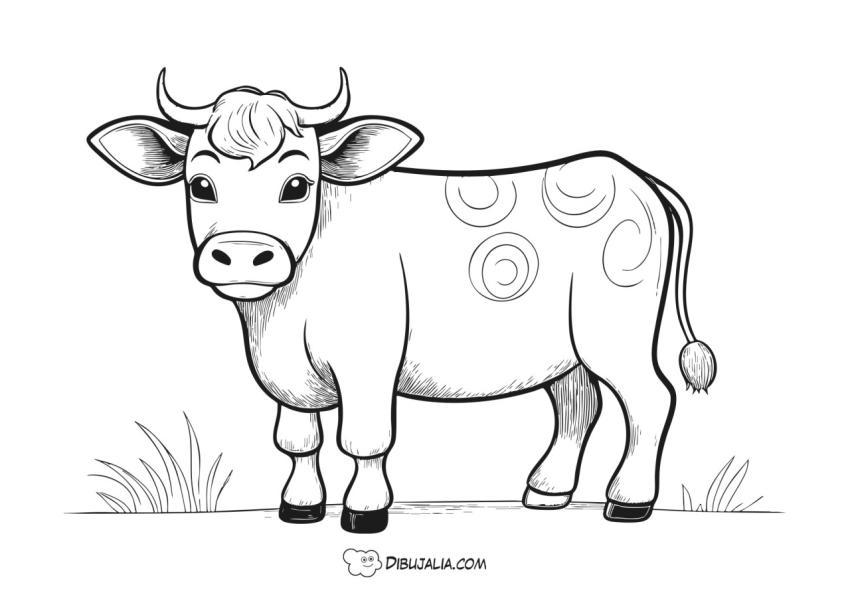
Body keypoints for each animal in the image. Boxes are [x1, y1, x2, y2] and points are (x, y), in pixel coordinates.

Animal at [88, 69, 716, 533]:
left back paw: (629, 501)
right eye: (200, 185)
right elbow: (298, 441)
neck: (278, 315)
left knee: (649, 400)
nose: (242, 255)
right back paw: (545, 491)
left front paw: (365, 511)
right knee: (578, 405)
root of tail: (627, 173)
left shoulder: (368, 358)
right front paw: (300, 507)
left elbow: (364, 439)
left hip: (615, 331)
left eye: (297, 185)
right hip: (566, 348)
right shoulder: (288, 370)